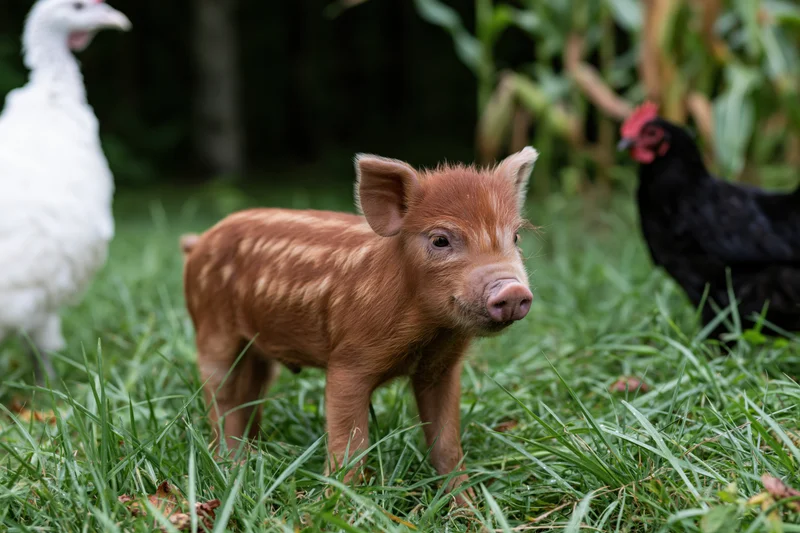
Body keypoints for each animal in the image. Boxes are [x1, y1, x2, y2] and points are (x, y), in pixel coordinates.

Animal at [181, 147, 539, 505]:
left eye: (515, 236)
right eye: (440, 240)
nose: (512, 291)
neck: (429, 333)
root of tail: (198, 243)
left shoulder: (442, 369)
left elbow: (447, 444)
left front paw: (467, 506)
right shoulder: (348, 361)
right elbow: (351, 445)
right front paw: (338, 503)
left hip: (257, 350)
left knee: (251, 393)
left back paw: (256, 454)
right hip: (212, 330)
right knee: (222, 398)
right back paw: (231, 465)